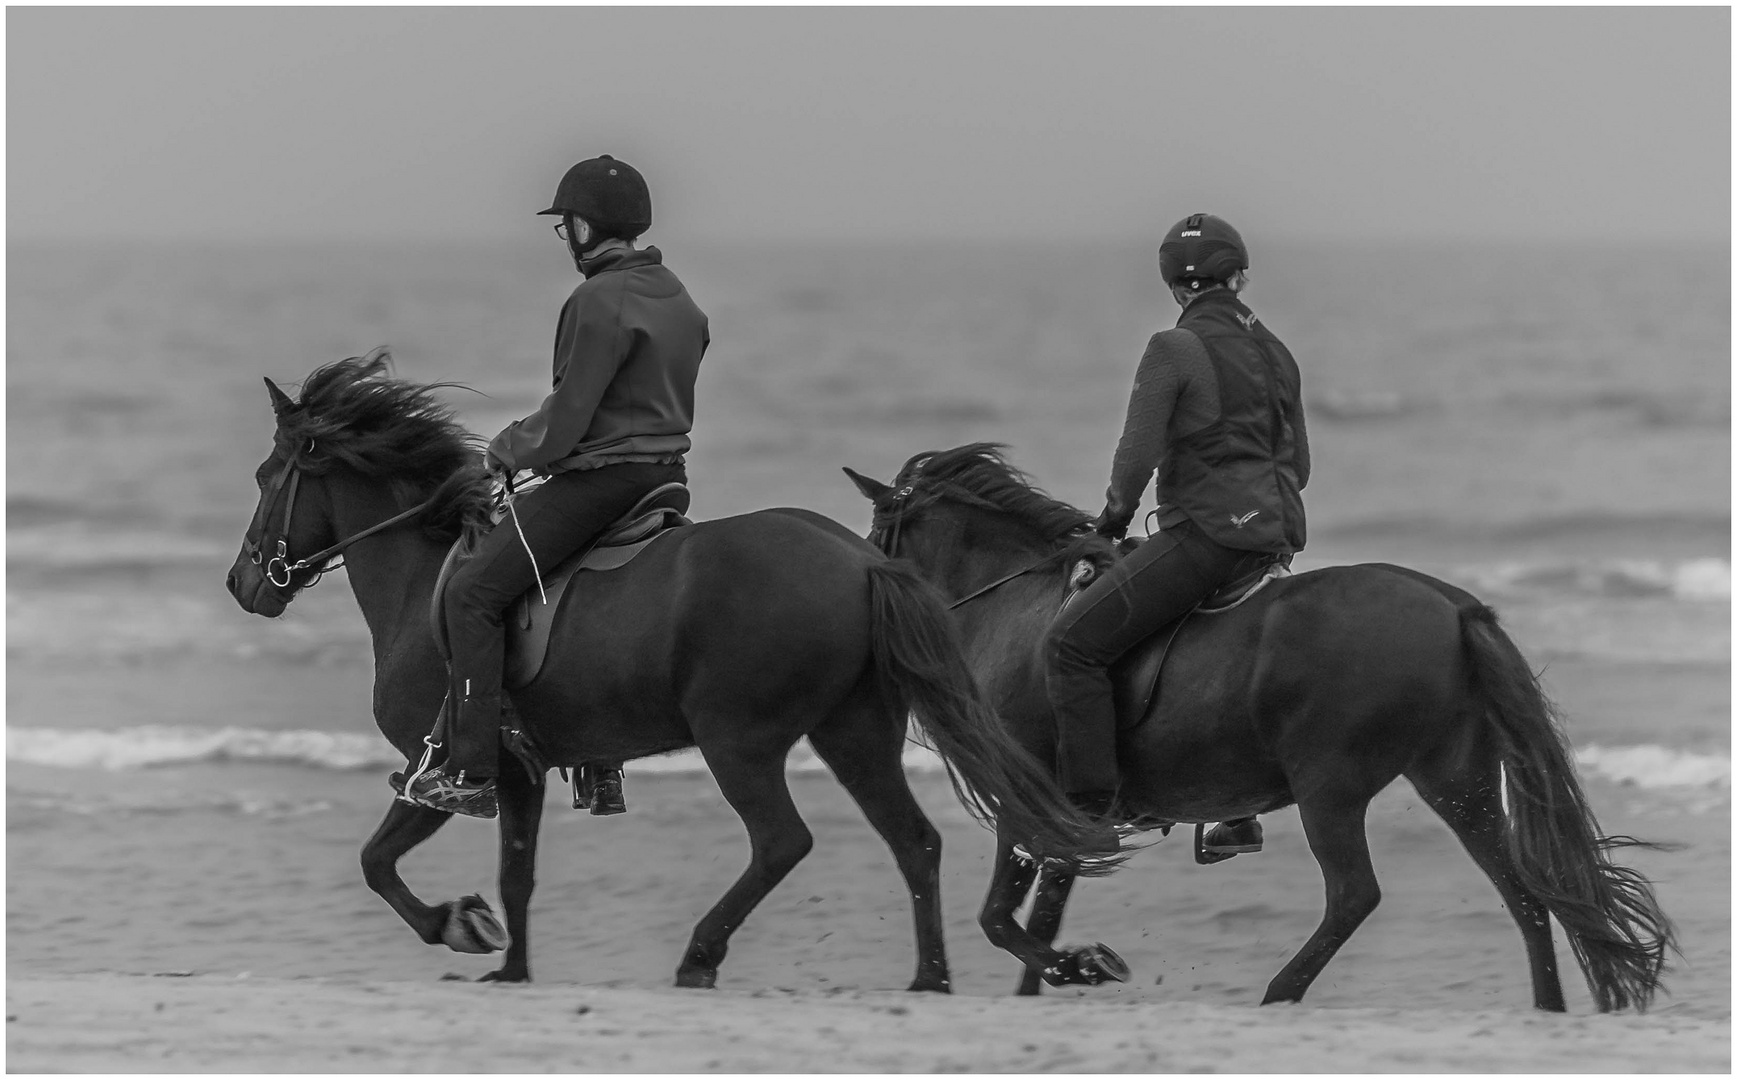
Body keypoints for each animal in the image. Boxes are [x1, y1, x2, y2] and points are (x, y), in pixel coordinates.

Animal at [224, 359, 1118, 993]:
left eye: (267, 477)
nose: (242, 584)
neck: (424, 581)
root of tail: (860, 562)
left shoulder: (441, 764)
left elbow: (379, 861)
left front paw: (457, 925)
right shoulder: (520, 774)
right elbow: (516, 873)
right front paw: (509, 966)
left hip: (739, 741)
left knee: (782, 842)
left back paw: (701, 954)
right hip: (853, 734)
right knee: (913, 841)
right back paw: (930, 978)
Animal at [847, 442, 1674, 1014]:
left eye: (881, 529)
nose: (863, 582)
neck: (1013, 607)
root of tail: (1448, 604)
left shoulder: (1029, 802)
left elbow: (998, 916)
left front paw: (1079, 966)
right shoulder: (1064, 822)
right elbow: (1040, 914)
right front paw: (1059, 976)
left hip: (1329, 787)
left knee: (1354, 895)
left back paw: (1281, 990)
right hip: (1455, 780)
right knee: (1521, 889)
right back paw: (1546, 1007)